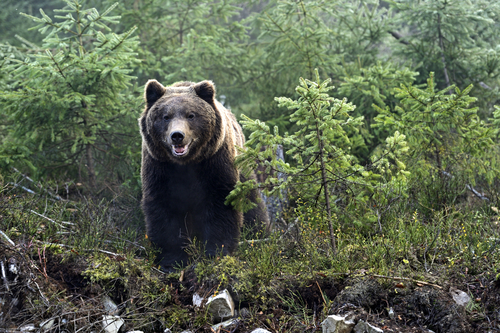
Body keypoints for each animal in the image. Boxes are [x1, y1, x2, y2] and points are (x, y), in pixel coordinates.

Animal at [139, 80, 268, 270]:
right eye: (165, 116)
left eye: (191, 115)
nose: (177, 136)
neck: (186, 163)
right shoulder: (160, 168)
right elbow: (164, 210)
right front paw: (172, 260)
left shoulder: (214, 162)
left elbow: (221, 204)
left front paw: (216, 252)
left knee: (252, 204)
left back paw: (260, 234)